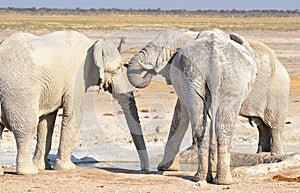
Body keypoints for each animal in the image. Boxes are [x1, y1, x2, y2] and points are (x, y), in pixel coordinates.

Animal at [0, 30, 149, 175]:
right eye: (118, 68)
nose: (144, 170)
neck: (92, 44)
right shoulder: (77, 77)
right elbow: (74, 113)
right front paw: (68, 168)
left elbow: (47, 119)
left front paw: (44, 167)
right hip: (19, 90)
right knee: (27, 125)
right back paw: (29, 171)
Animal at [125, 28, 290, 184]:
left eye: (159, 49)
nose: (127, 64)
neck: (191, 33)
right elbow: (183, 114)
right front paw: (166, 168)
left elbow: (182, 113)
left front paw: (165, 168)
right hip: (225, 78)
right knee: (233, 127)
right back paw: (215, 179)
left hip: (276, 91)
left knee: (273, 127)